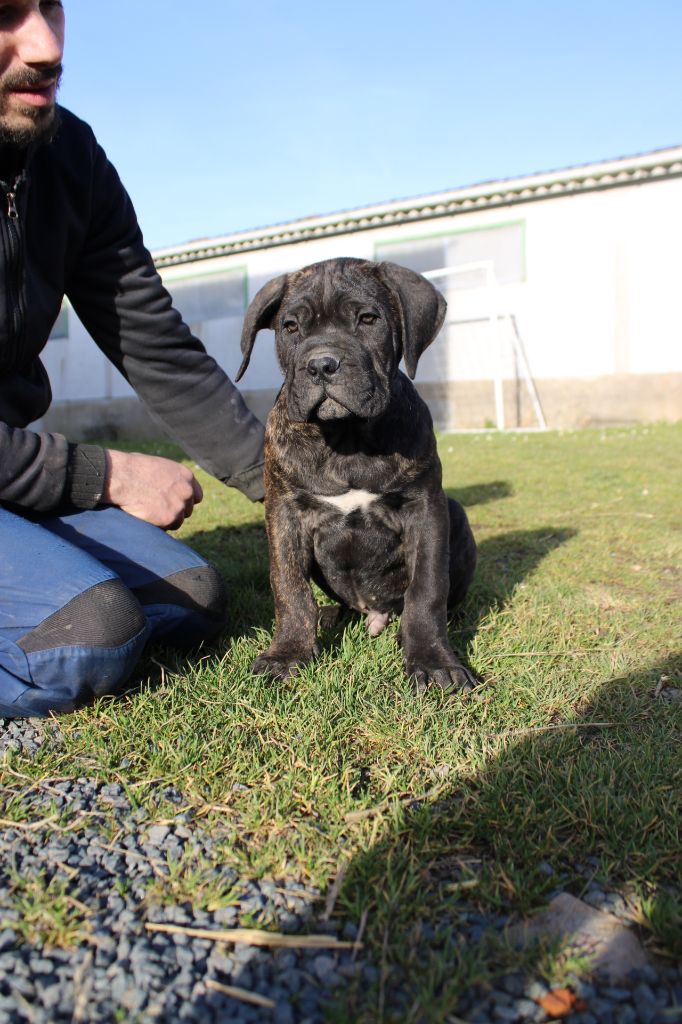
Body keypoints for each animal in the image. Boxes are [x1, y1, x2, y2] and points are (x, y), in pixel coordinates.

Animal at [236, 256, 475, 692]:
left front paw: (433, 660)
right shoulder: (284, 514)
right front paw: (288, 653)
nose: (321, 364)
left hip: (456, 514)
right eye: (290, 327)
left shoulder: (425, 510)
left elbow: (427, 589)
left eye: (368, 319)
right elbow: (289, 588)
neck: (345, 438)